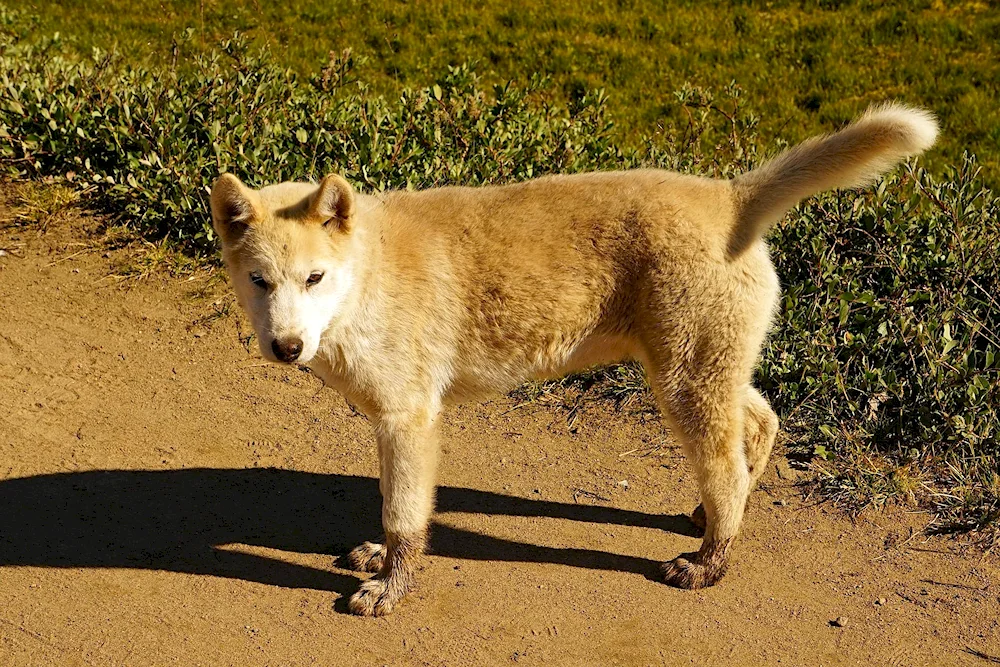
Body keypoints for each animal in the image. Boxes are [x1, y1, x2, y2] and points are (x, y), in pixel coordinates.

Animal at [209, 102, 936, 620]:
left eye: (315, 278)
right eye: (259, 281)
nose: (287, 348)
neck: (368, 272)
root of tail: (729, 197)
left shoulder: (409, 419)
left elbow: (405, 516)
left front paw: (391, 586)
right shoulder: (393, 421)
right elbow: (395, 507)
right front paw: (377, 559)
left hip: (683, 378)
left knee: (727, 466)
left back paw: (709, 561)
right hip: (709, 363)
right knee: (757, 425)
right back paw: (709, 519)